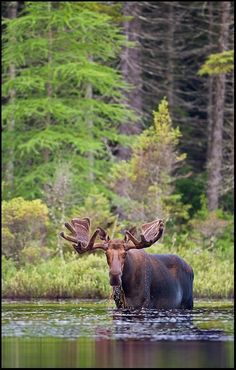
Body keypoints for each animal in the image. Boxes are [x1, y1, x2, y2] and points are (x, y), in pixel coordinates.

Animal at [60, 217, 194, 310]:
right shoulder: (120, 304)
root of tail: (191, 269)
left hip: (188, 302)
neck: (127, 287)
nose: (114, 276)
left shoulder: (144, 303)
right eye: (106, 253)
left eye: (125, 253)